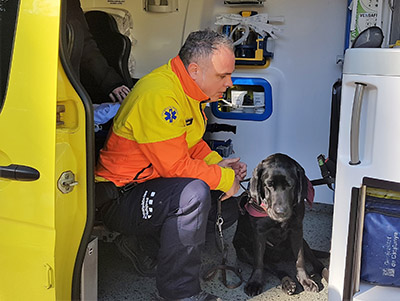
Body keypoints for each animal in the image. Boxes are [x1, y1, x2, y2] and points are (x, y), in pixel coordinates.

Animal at [233, 152, 330, 296]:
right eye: (268, 184)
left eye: (290, 185)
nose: (280, 211)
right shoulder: (259, 234)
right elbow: (258, 262)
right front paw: (255, 282)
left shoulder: (297, 230)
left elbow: (300, 259)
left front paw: (305, 280)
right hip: (242, 248)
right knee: (274, 268)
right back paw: (288, 283)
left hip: (303, 242)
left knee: (316, 263)